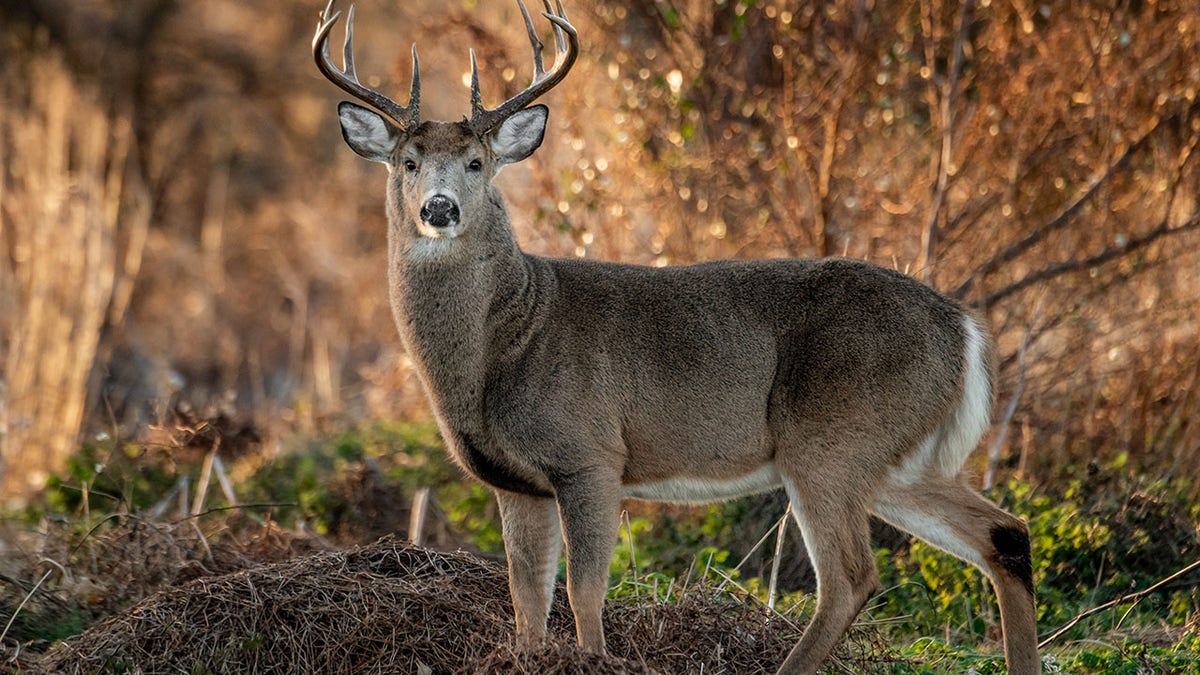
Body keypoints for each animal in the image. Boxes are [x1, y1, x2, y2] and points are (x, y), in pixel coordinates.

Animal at [314, 2, 1036, 667]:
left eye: (475, 162)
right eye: (408, 161)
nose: (439, 209)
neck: (506, 342)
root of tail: (964, 326)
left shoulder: (591, 453)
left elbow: (582, 592)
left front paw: (596, 659)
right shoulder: (516, 481)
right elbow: (526, 601)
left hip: (832, 437)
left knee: (851, 577)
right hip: (895, 456)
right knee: (1005, 533)